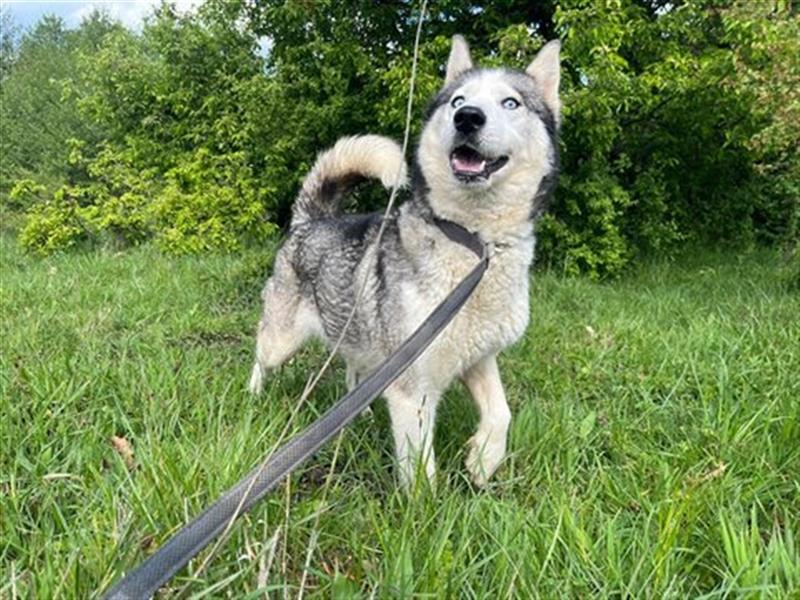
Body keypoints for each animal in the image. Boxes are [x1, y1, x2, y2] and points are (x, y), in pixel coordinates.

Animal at [252, 36, 564, 488]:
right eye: (457, 101)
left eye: (511, 102)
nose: (468, 118)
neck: (475, 245)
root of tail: (311, 220)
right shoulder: (412, 388)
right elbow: (421, 473)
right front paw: (426, 506)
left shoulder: (478, 358)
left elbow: (501, 412)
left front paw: (483, 459)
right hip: (283, 340)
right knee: (261, 356)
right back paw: (253, 396)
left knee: (354, 373)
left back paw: (361, 415)